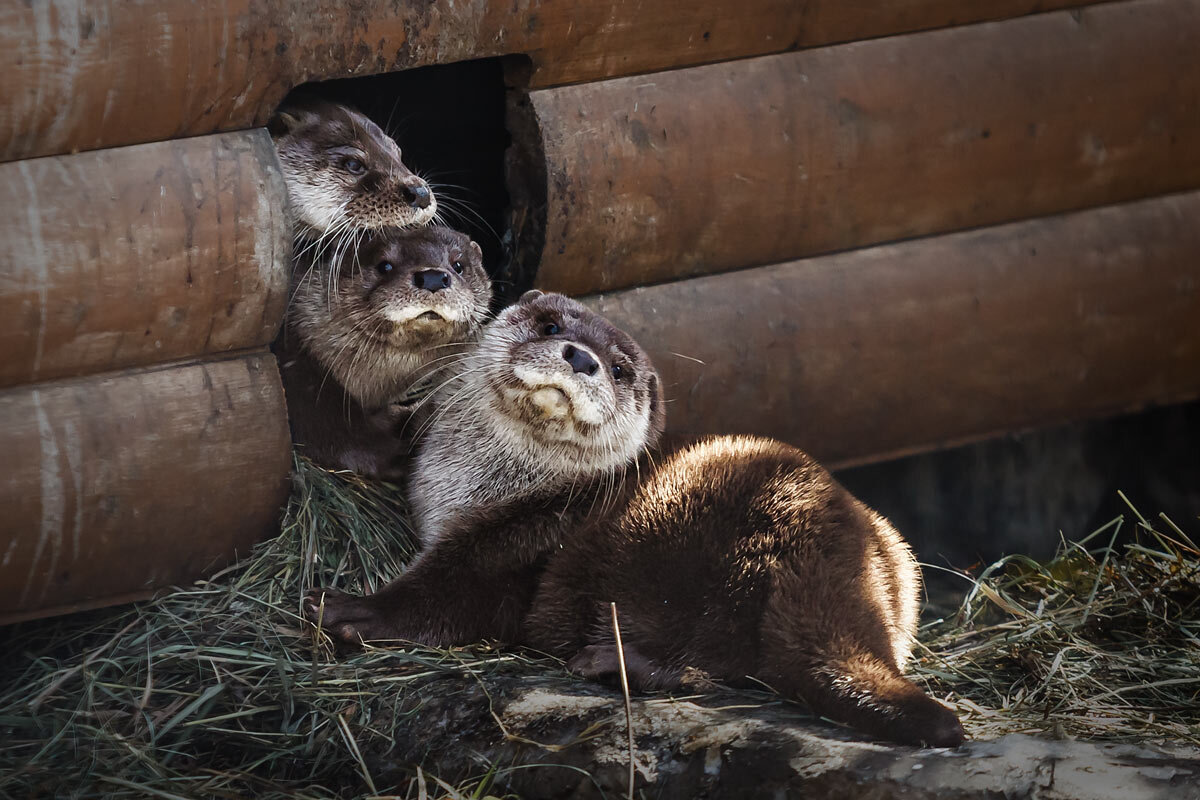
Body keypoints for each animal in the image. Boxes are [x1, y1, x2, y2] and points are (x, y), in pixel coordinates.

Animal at [302, 293, 964, 753]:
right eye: (551, 326)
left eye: (619, 370)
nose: (581, 357)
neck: (475, 490)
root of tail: (829, 542)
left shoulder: (516, 543)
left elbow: (448, 595)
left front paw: (351, 610)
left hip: (704, 565)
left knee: (721, 662)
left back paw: (611, 662)